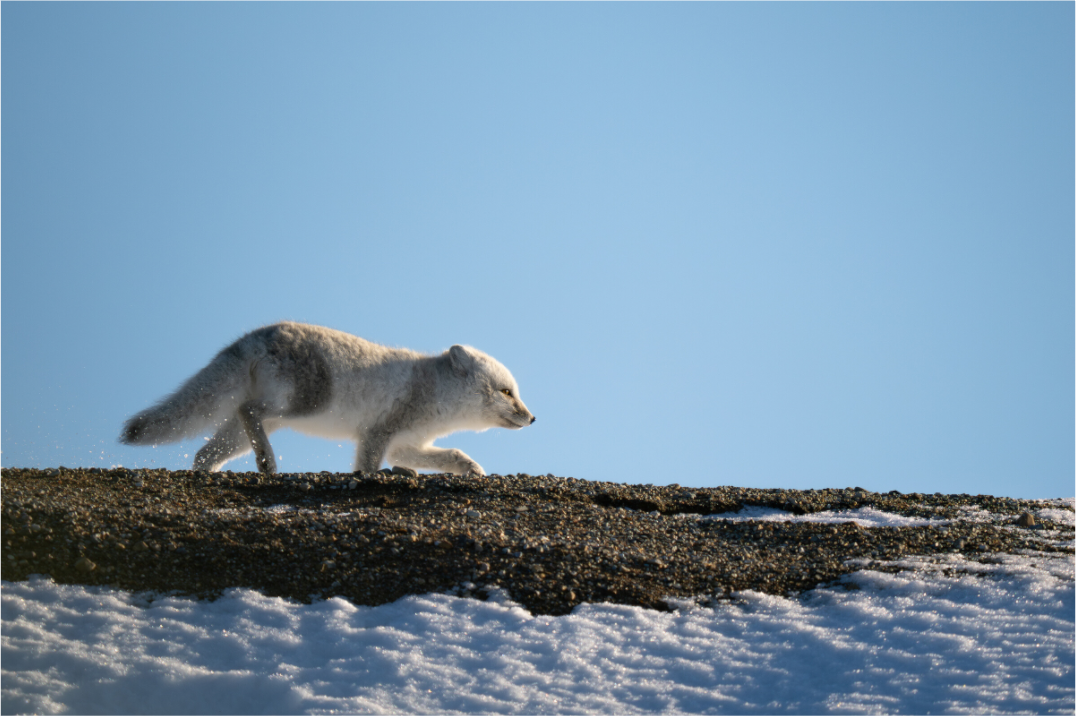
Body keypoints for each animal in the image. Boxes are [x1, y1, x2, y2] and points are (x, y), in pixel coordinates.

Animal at [120, 322, 535, 476]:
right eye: (507, 392)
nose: (532, 418)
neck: (433, 389)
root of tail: (256, 335)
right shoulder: (379, 433)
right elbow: (367, 466)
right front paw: (374, 477)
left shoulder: (406, 444)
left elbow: (451, 454)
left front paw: (472, 470)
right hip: (299, 405)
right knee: (246, 409)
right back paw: (267, 461)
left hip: (247, 431)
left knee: (204, 453)